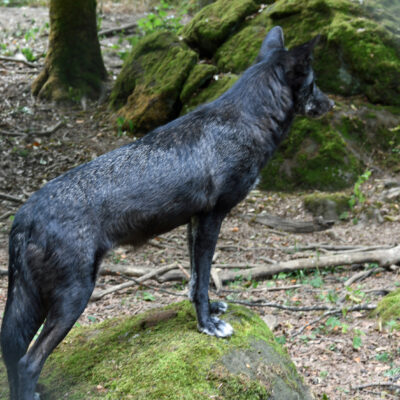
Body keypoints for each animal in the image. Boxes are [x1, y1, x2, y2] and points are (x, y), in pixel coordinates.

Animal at [1, 26, 332, 398]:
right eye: (314, 83)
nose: (331, 104)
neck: (244, 121)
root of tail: (23, 216)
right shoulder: (213, 218)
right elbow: (203, 279)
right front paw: (207, 324)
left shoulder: (194, 222)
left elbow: (195, 279)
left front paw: (208, 311)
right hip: (74, 296)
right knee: (28, 362)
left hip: (38, 301)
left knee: (12, 354)